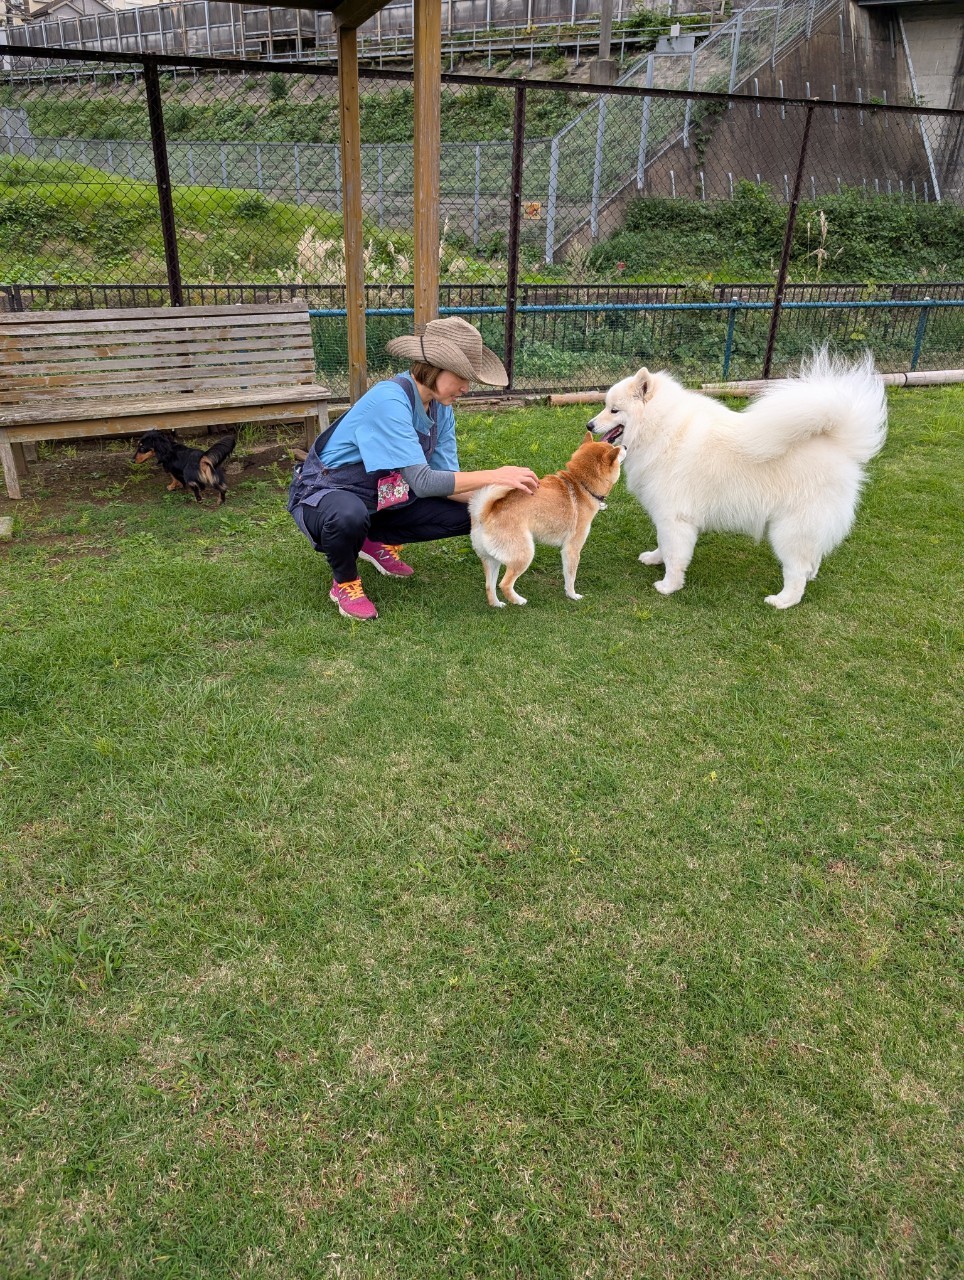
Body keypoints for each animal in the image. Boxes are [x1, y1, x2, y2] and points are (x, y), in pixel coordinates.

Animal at [469, 432, 626, 607]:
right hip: (524, 554)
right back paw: (519, 600)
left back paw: (497, 604)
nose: (625, 446)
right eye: (616, 450)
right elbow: (570, 577)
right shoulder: (572, 548)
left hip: (491, 559)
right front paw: (572, 595)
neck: (581, 485)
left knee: (489, 587)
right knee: (505, 584)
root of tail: (486, 513)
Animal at [589, 348, 887, 608]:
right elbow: (663, 544)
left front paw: (668, 586)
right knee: (811, 560)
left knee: (796, 571)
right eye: (605, 406)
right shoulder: (666, 516)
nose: (589, 425)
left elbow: (674, 554)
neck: (660, 428)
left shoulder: (674, 516)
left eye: (614, 410)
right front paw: (654, 559)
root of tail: (840, 447)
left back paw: (782, 601)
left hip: (789, 530)